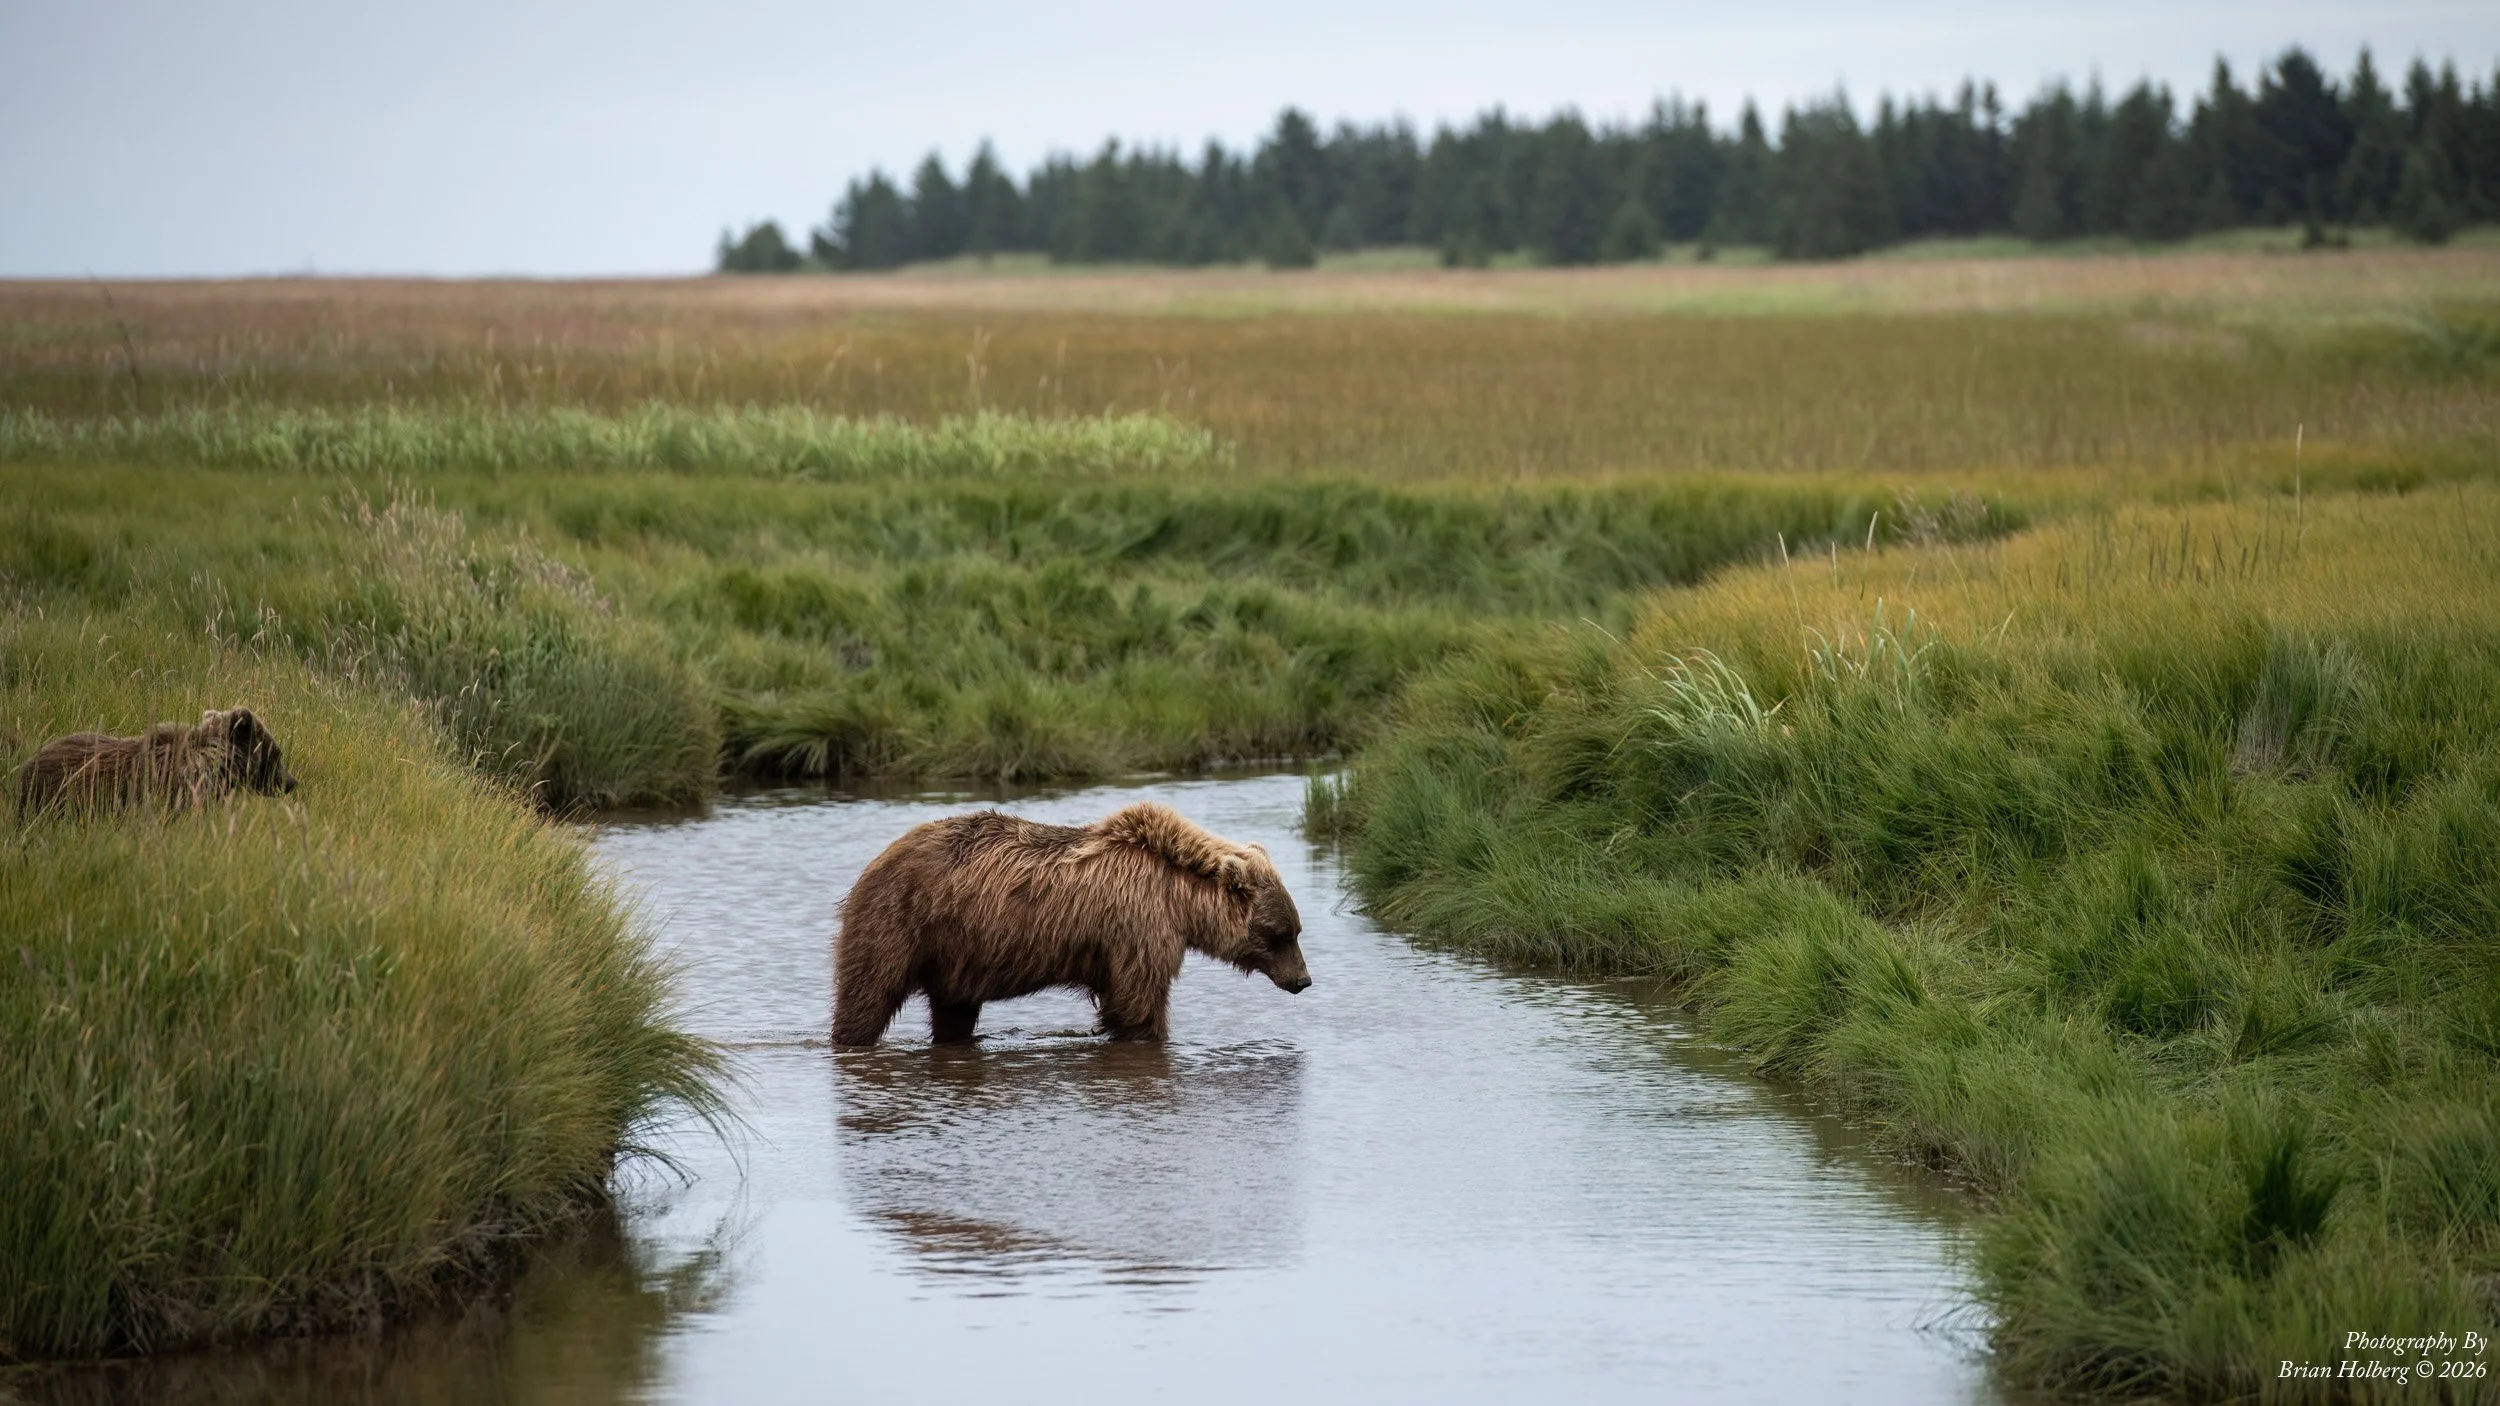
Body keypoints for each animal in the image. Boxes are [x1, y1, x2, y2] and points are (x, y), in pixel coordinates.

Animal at [832, 801, 1311, 1046]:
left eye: (1296, 930)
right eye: (1281, 934)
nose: (1303, 980)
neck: (1177, 896)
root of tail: (877, 860)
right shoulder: (1138, 928)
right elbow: (1139, 1003)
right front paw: (1148, 1036)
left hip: (954, 956)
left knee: (953, 1012)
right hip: (900, 923)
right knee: (867, 995)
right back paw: (852, 1035)